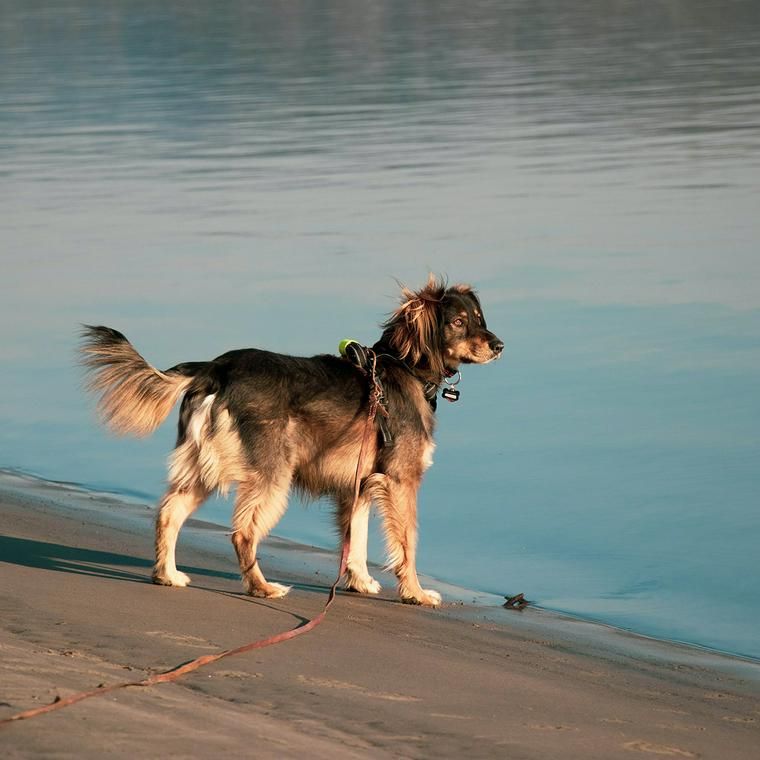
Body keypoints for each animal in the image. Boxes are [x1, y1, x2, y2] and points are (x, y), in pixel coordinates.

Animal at [80, 278, 502, 604]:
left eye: (480, 319)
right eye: (459, 322)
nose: (499, 346)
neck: (404, 367)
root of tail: (217, 368)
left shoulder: (359, 485)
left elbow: (356, 539)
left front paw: (359, 581)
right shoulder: (401, 481)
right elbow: (407, 543)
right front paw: (415, 592)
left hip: (205, 465)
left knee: (169, 512)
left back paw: (167, 575)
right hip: (271, 474)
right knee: (243, 533)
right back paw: (262, 588)